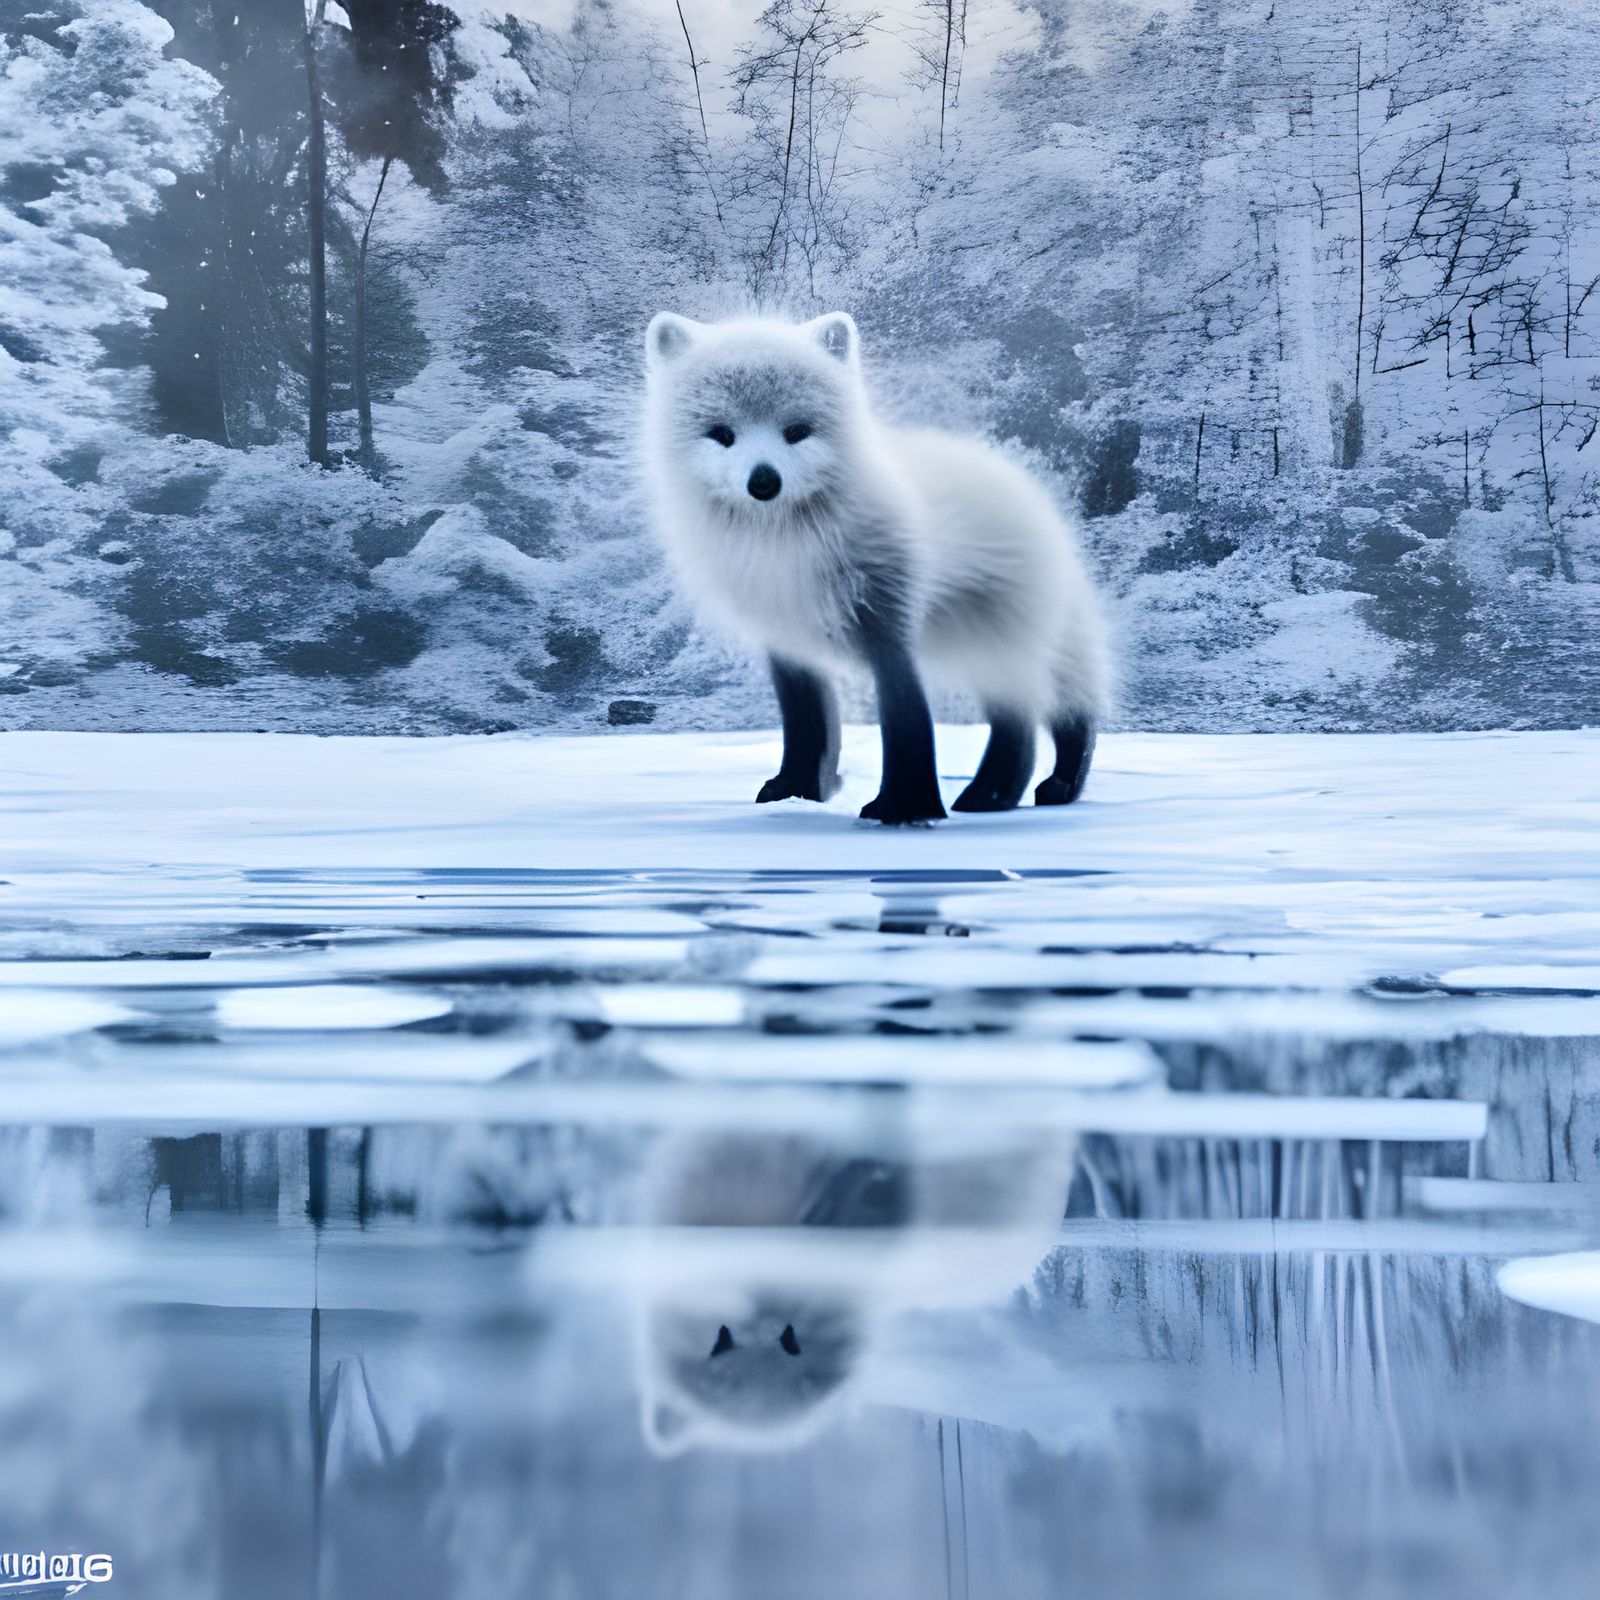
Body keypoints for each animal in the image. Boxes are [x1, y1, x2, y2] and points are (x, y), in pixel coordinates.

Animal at [641, 309, 1111, 824]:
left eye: (797, 431)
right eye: (722, 434)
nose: (763, 482)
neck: (784, 547)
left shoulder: (888, 621)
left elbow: (905, 717)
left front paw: (903, 807)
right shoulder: (785, 637)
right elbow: (808, 724)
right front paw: (796, 791)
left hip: (998, 640)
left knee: (1034, 716)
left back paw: (1012, 791)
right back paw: (1009, 794)